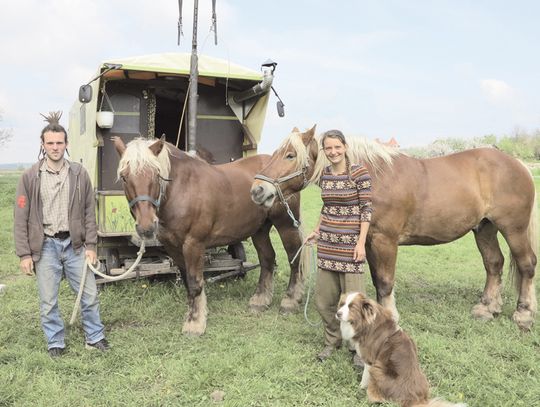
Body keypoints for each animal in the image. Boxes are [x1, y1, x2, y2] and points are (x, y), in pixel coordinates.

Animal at [113, 135, 304, 336]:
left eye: (157, 174)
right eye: (124, 177)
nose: (146, 227)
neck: (182, 189)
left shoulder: (194, 244)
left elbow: (195, 283)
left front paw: (195, 323)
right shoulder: (173, 247)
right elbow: (188, 282)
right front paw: (196, 314)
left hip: (286, 225)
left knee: (294, 259)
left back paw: (290, 301)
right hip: (259, 230)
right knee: (267, 259)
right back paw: (260, 301)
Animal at [251, 126, 536, 332]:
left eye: (290, 155)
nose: (257, 190)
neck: (375, 178)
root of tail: (518, 164)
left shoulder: (385, 241)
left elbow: (386, 282)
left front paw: (390, 317)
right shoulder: (368, 242)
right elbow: (377, 280)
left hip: (514, 229)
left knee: (526, 264)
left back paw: (523, 313)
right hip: (485, 228)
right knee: (494, 263)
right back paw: (487, 308)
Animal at [336, 294, 466, 407]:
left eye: (352, 307)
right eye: (342, 304)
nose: (337, 313)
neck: (366, 323)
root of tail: (415, 400)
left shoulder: (370, 360)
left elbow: (364, 377)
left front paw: (360, 388)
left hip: (378, 370)